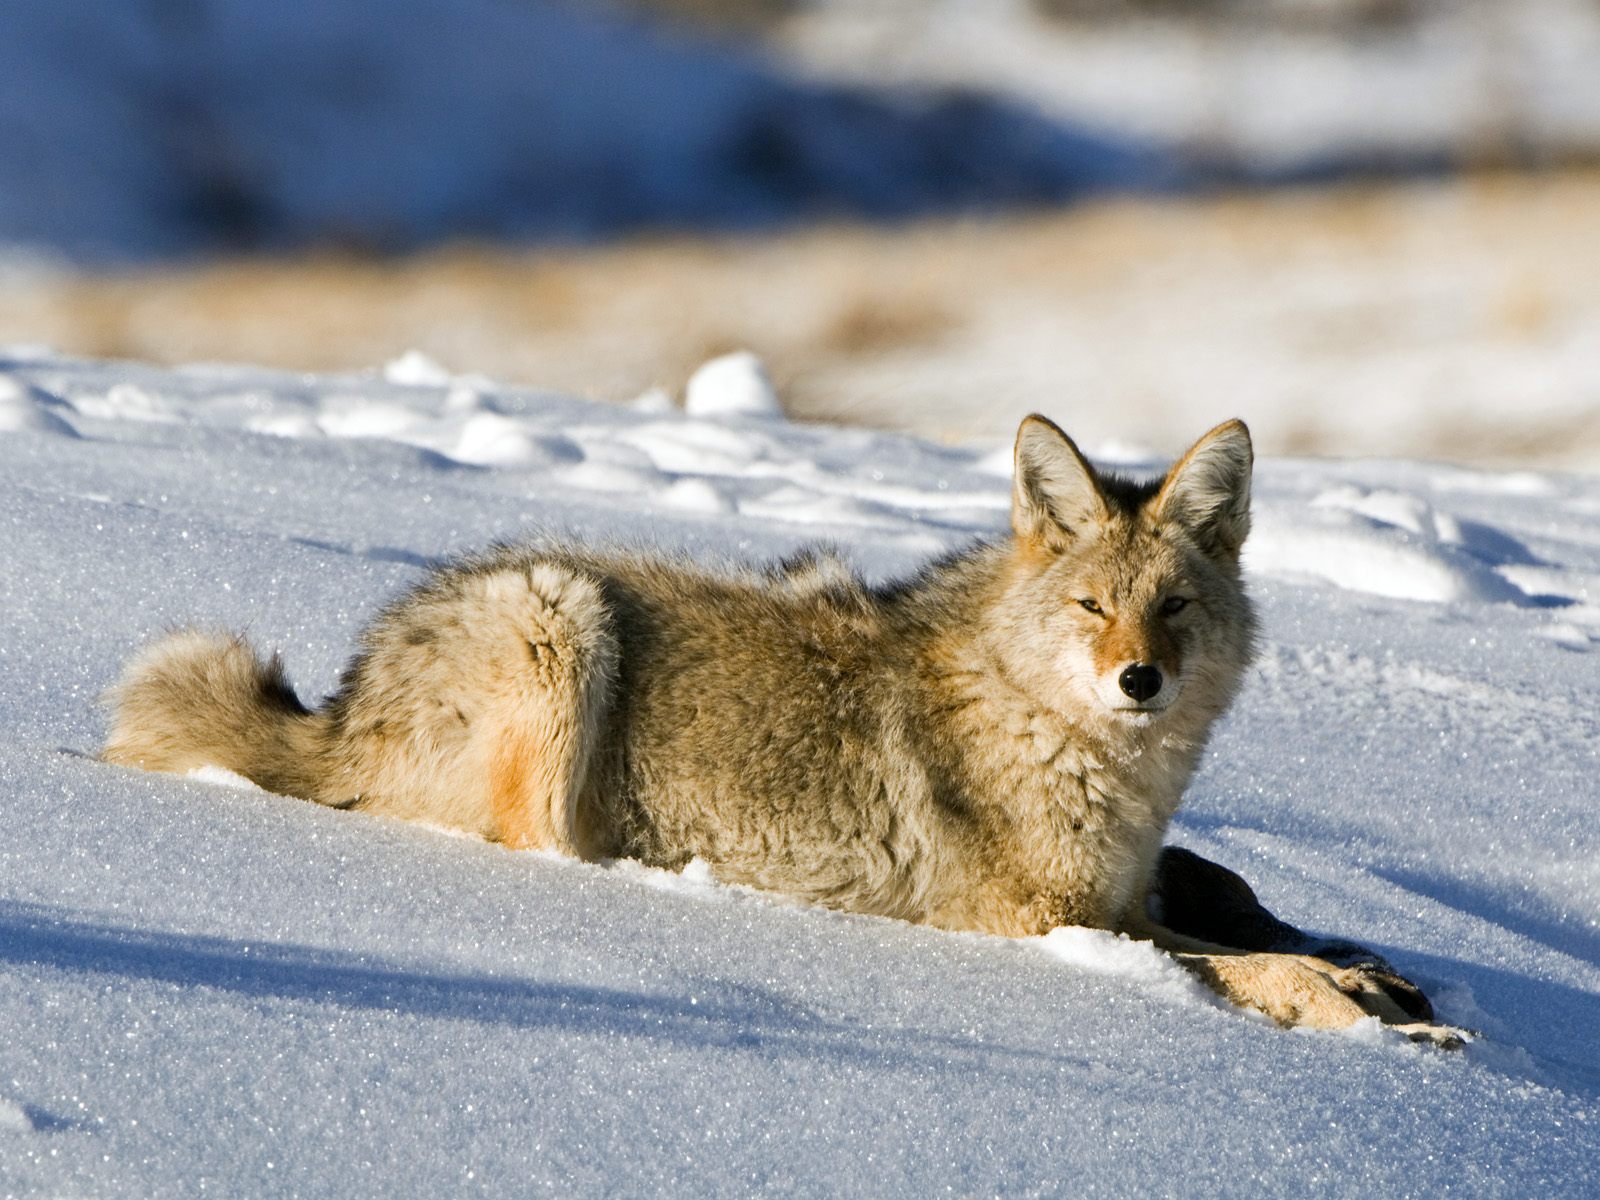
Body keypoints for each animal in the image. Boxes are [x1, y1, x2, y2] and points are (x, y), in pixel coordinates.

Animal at [103, 415, 1463, 1045]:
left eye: (1173, 608)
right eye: (1093, 606)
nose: (1139, 682)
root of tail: (349, 693)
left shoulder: (1126, 897)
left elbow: (1256, 930)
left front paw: (1378, 979)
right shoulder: (1044, 926)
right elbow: (1246, 970)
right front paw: (1373, 1018)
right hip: (560, 616)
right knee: (534, 845)